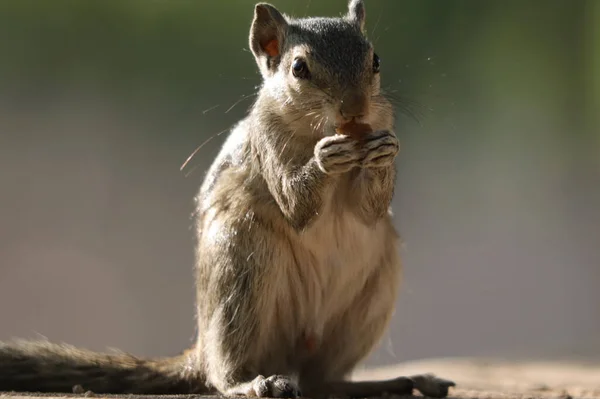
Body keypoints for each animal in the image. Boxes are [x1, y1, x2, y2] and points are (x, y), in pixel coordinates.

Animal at [0, 1, 454, 398]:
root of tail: (201, 349)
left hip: (372, 293)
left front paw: (384, 153)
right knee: (224, 374)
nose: (355, 109)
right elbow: (296, 204)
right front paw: (327, 158)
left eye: (375, 60)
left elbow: (369, 209)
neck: (318, 128)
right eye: (299, 68)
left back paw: (399, 381)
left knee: (324, 380)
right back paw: (252, 383)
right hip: (241, 268)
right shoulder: (266, 142)